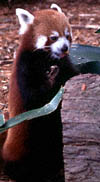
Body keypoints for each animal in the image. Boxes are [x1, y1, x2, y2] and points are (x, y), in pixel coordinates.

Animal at [1, 3, 78, 182]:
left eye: (67, 35)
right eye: (54, 37)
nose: (65, 47)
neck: (48, 58)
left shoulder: (65, 63)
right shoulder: (25, 67)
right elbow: (35, 97)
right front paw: (52, 80)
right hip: (24, 142)